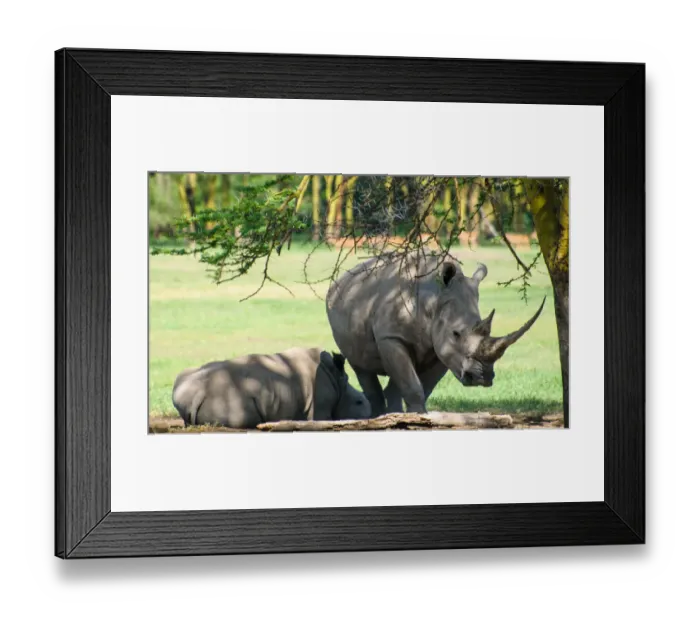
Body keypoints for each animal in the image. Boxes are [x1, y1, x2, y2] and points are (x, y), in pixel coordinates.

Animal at [172, 347, 371, 429]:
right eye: (359, 402)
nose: (370, 416)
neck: (338, 381)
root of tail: (194, 395)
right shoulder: (320, 406)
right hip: (225, 394)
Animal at [326, 252, 545, 416]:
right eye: (456, 333)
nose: (482, 378)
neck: (435, 298)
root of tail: (340, 280)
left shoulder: (443, 349)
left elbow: (424, 385)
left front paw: (417, 416)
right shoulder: (392, 337)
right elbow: (412, 383)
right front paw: (416, 417)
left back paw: (392, 414)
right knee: (361, 367)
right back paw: (379, 416)